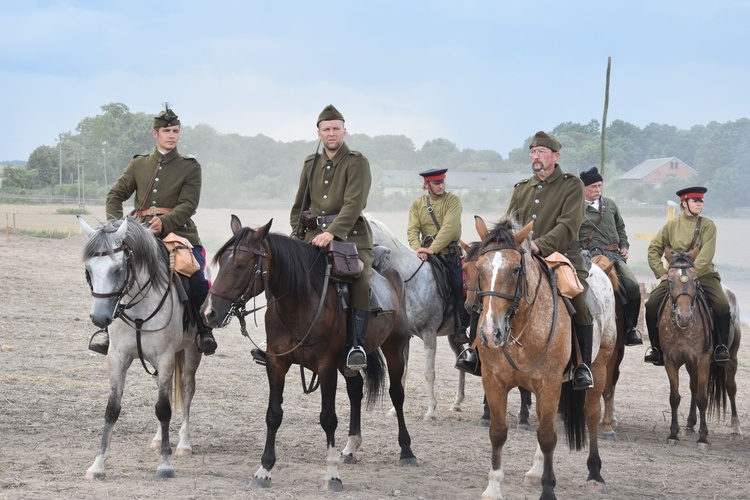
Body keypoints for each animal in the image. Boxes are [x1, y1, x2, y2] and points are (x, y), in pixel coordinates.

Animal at [79, 216, 203, 480]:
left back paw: (183, 444)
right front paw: (98, 465)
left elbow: (164, 408)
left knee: (187, 389)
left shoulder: (165, 357)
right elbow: (112, 408)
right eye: (88, 270)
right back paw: (158, 439)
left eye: (118, 269)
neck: (139, 309)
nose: (99, 317)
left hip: (191, 352)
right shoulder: (117, 358)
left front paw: (165, 465)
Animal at [203, 217, 420, 490]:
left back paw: (407, 452)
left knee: (396, 394)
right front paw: (264, 469)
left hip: (395, 348)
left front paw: (332, 475)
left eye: (241, 264)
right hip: (346, 363)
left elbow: (328, 418)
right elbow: (273, 414)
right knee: (356, 391)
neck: (299, 303)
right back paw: (351, 447)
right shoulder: (277, 363)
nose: (209, 313)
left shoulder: (326, 367)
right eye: (221, 262)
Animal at [464, 216, 616, 500]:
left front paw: (548, 490)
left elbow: (547, 437)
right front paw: (493, 487)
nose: (490, 332)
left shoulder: (549, 384)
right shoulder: (494, 382)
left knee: (590, 414)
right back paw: (536, 471)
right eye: (479, 267)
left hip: (599, 367)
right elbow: (498, 432)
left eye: (515, 269)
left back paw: (595, 474)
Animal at [660, 248, 744, 448]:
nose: (684, 317)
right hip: (691, 364)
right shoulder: (670, 361)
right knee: (693, 386)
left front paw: (703, 438)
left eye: (695, 279)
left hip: (732, 357)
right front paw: (673, 434)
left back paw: (736, 429)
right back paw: (690, 424)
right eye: (669, 280)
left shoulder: (704, 361)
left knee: (730, 388)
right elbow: (675, 397)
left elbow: (703, 398)